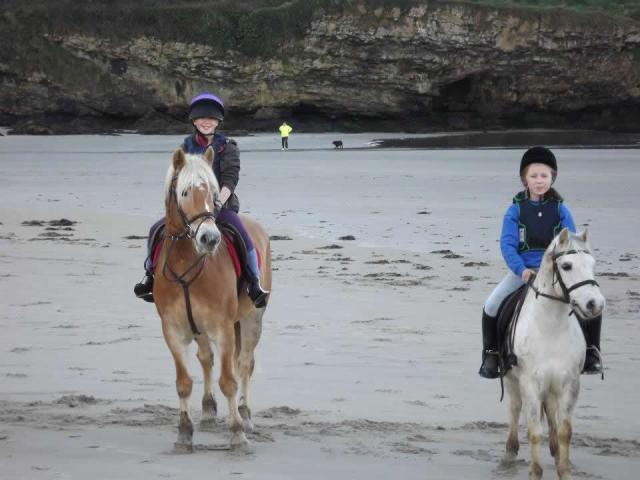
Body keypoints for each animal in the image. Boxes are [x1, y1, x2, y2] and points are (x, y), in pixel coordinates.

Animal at [154, 147, 272, 450]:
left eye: (214, 192)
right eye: (184, 192)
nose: (209, 237)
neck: (187, 262)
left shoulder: (223, 328)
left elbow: (229, 380)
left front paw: (237, 433)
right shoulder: (173, 330)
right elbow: (183, 382)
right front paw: (184, 433)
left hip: (252, 318)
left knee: (245, 364)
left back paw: (245, 414)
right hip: (200, 328)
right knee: (206, 358)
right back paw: (208, 410)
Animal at [504, 229, 604, 480]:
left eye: (592, 264)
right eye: (566, 266)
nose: (595, 304)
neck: (551, 326)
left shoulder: (570, 382)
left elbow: (564, 430)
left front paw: (565, 470)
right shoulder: (529, 383)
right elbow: (534, 431)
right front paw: (535, 472)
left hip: (551, 386)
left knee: (551, 415)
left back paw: (556, 452)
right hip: (511, 380)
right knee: (514, 409)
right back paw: (509, 453)